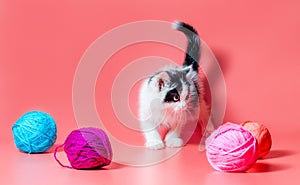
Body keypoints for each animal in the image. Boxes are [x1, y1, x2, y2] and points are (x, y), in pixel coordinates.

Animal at [138, 21, 210, 150]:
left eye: (186, 96)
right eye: (176, 97)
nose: (184, 105)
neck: (165, 109)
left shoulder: (182, 114)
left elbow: (176, 127)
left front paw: (172, 140)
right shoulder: (146, 111)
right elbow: (150, 129)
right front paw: (155, 142)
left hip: (198, 99)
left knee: (203, 110)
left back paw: (209, 128)